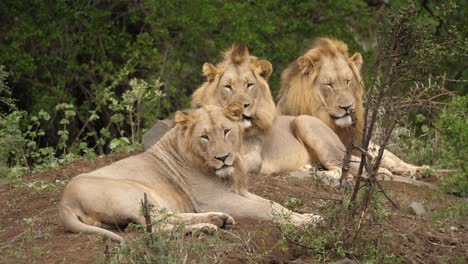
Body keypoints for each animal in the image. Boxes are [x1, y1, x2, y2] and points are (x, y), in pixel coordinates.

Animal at [59, 102, 322, 242]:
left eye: (226, 131)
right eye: (204, 136)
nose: (222, 158)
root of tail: (64, 202)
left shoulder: (239, 192)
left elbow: (274, 203)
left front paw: (309, 217)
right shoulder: (217, 198)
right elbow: (266, 209)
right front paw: (304, 222)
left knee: (167, 218)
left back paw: (216, 221)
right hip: (133, 193)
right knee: (155, 226)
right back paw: (207, 226)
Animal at [278, 37, 428, 176]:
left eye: (348, 81)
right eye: (329, 84)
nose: (347, 107)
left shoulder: (358, 144)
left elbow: (378, 157)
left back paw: (418, 169)